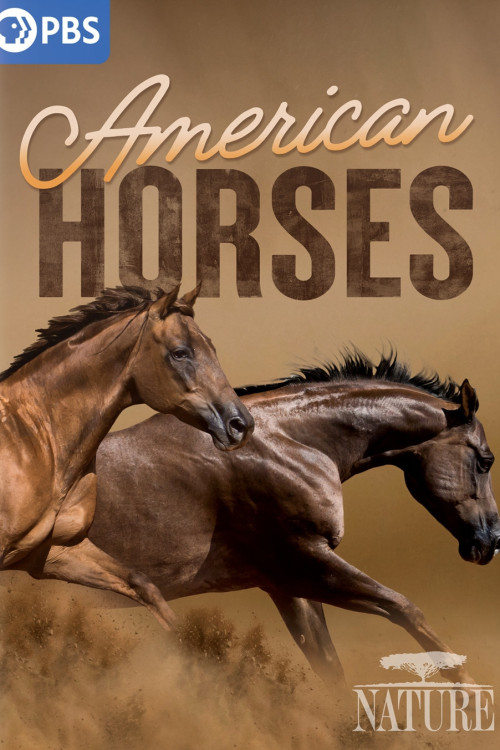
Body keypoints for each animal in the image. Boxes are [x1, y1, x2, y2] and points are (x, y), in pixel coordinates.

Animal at [0, 284, 253, 629]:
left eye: (211, 347)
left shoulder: (52, 552)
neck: (37, 438)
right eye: (180, 352)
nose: (241, 425)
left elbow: (143, 586)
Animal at [41, 351, 499, 685]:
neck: (286, 443)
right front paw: (471, 696)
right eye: (485, 460)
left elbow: (329, 665)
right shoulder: (306, 561)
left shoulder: (287, 584)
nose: (490, 541)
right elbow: (404, 609)